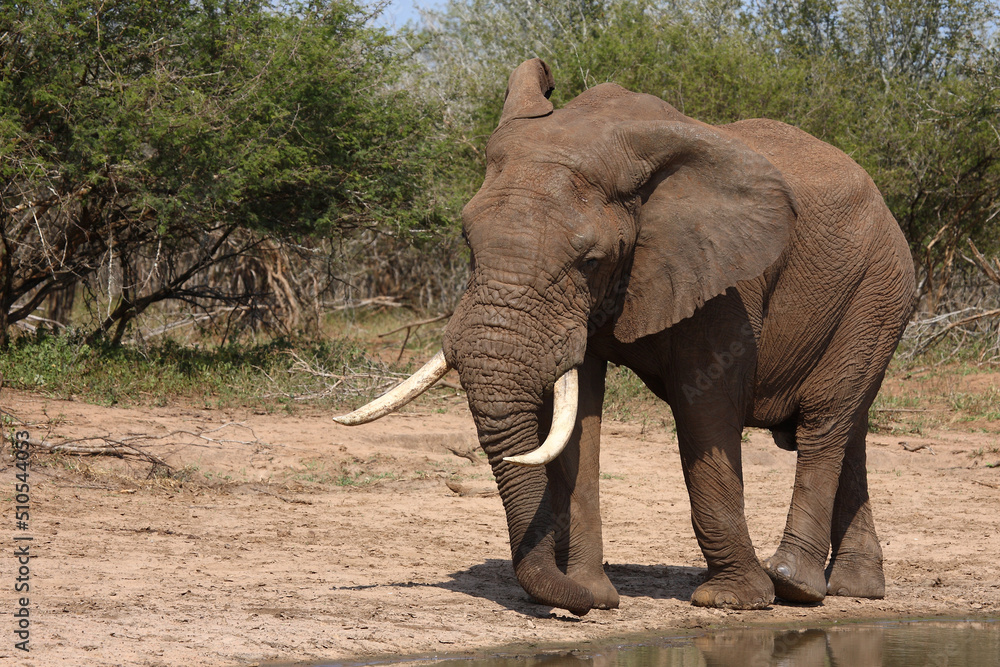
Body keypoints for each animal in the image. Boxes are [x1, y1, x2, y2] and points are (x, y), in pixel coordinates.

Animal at [340, 60, 916, 620]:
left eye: (590, 259)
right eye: (466, 238)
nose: (576, 604)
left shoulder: (723, 279)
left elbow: (704, 405)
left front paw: (731, 600)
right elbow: (579, 417)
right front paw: (592, 595)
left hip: (877, 290)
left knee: (825, 421)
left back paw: (794, 585)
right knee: (851, 430)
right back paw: (856, 589)